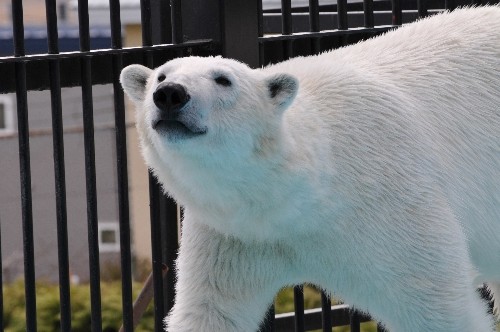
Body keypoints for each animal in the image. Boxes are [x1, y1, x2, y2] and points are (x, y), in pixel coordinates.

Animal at [121, 7, 500, 332]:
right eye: (161, 75)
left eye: (223, 80)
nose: (169, 94)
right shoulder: (233, 236)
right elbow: (210, 311)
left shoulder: (393, 205)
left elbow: (436, 305)